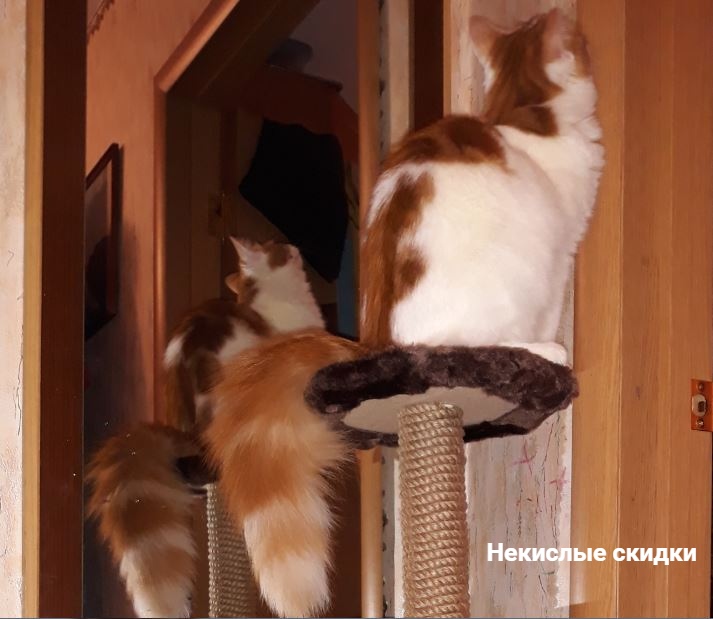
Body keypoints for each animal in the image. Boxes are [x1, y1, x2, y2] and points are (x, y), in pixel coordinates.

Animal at [362, 8, 603, 360]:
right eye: (582, 43)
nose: (588, 42)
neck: (524, 117)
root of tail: (399, 346)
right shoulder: (563, 251)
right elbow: (552, 313)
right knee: (483, 343)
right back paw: (548, 352)